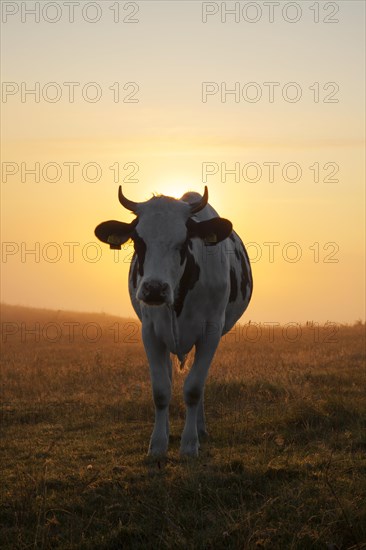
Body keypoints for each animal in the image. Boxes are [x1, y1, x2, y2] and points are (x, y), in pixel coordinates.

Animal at [95, 185, 252, 458]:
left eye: (184, 242)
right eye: (138, 240)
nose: (154, 289)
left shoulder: (211, 333)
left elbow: (194, 388)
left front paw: (189, 444)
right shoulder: (150, 333)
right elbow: (161, 390)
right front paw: (158, 444)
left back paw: (200, 429)